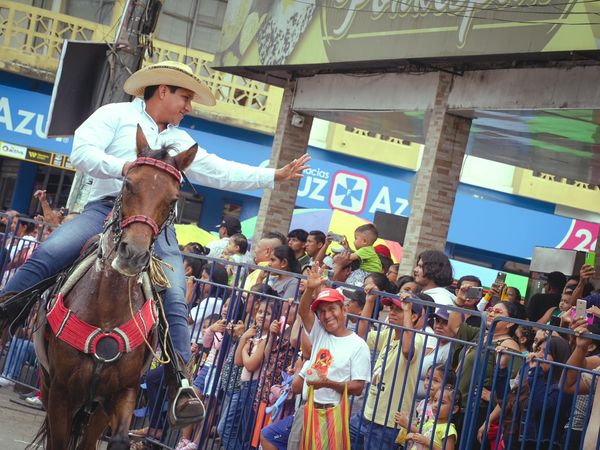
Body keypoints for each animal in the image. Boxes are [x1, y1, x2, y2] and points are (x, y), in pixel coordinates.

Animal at [30, 126, 197, 450]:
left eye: (173, 200)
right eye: (129, 184)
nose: (133, 254)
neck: (106, 306)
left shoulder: (123, 392)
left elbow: (118, 439)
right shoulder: (60, 393)